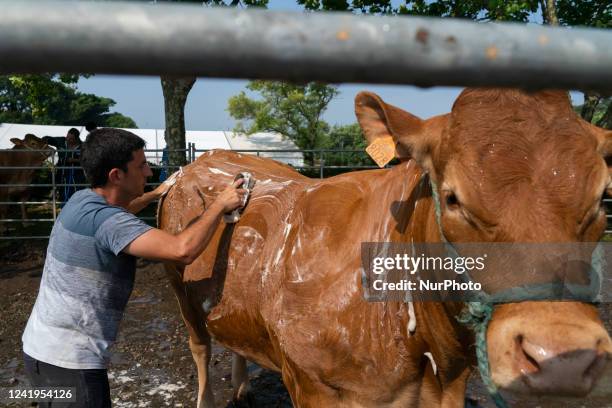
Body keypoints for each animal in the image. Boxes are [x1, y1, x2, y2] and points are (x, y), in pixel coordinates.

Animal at [159, 90, 612, 408]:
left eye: (602, 196)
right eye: (452, 198)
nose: (563, 359)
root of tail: (202, 160)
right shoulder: (311, 385)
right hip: (179, 286)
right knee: (200, 347)